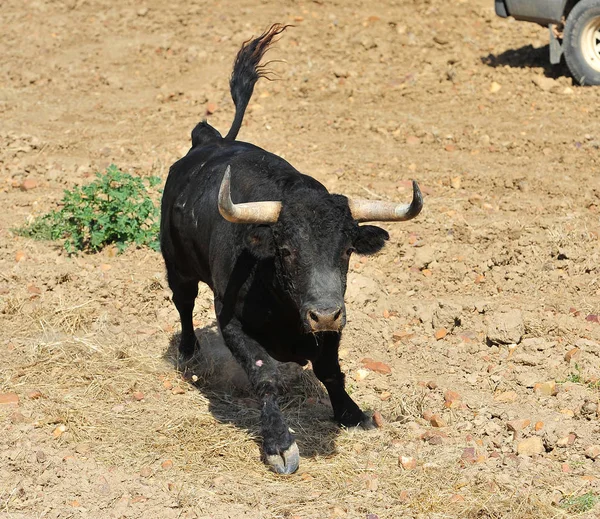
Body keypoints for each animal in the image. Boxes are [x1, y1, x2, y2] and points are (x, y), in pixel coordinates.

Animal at [159, 25, 422, 476]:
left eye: (348, 250)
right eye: (283, 250)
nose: (324, 313)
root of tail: (208, 142)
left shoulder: (332, 327)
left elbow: (331, 370)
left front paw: (351, 413)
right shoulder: (232, 324)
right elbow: (265, 378)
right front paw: (279, 445)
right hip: (177, 265)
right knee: (184, 303)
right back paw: (190, 352)